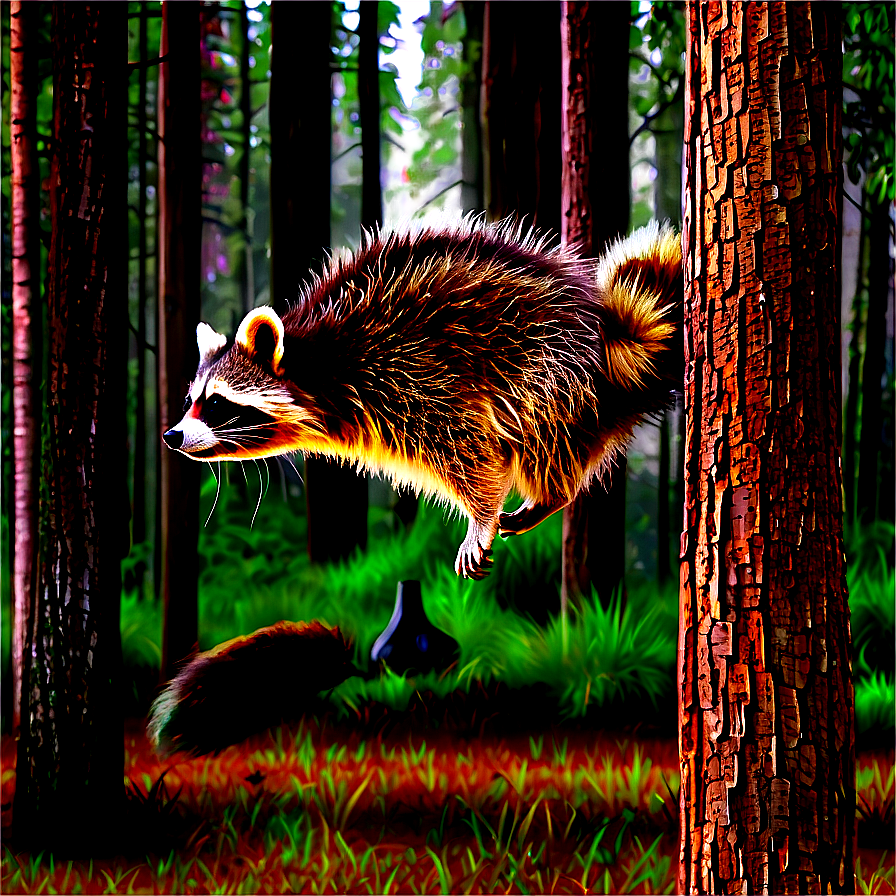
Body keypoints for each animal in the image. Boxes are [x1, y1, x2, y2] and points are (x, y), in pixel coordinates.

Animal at [163, 214, 682, 579]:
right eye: (190, 400)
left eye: (216, 403)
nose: (171, 435)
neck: (316, 361)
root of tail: (609, 338)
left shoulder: (411, 372)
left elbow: (470, 452)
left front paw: (481, 518)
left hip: (549, 364)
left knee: (538, 427)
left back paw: (550, 494)